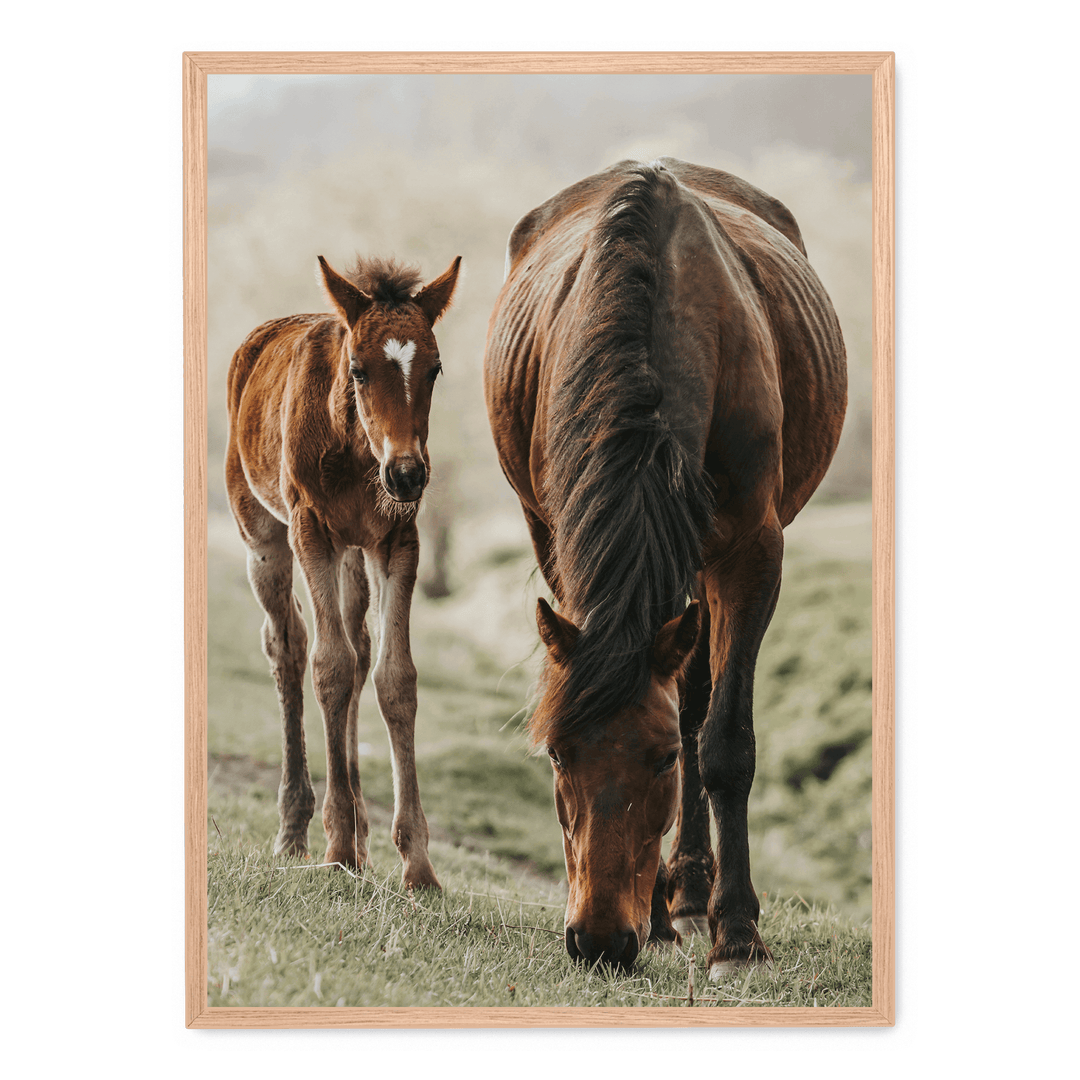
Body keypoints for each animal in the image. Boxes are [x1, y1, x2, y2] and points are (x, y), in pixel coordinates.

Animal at [225, 253, 461, 889]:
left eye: (434, 370)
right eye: (357, 370)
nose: (407, 475)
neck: (359, 455)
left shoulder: (397, 540)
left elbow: (393, 677)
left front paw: (417, 864)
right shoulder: (312, 531)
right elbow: (327, 666)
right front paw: (335, 848)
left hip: (355, 556)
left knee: (358, 650)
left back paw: (360, 833)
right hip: (264, 536)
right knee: (288, 645)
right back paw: (297, 828)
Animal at [483, 159, 847, 975]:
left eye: (659, 763)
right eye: (558, 756)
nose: (599, 940)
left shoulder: (751, 552)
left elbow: (722, 741)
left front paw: (736, 933)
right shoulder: (561, 544)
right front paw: (656, 915)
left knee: (698, 700)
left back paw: (696, 894)